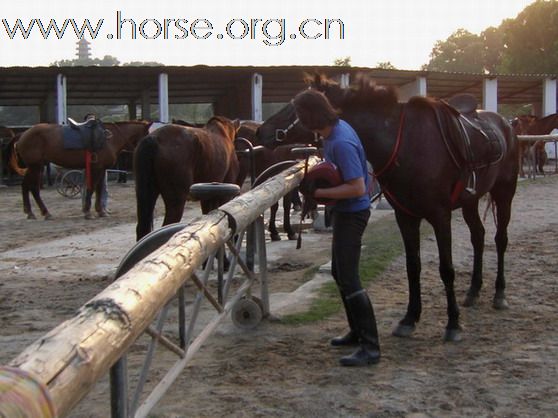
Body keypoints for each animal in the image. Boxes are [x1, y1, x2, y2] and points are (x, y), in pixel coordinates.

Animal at [13, 120, 151, 219]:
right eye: (147, 135)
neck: (109, 139)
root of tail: (23, 134)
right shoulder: (97, 168)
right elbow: (92, 188)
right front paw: (87, 212)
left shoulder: (102, 169)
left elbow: (99, 189)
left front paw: (100, 211)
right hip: (35, 166)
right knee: (33, 188)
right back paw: (45, 212)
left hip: (36, 167)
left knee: (25, 186)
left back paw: (30, 212)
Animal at [258, 74, 520, 342]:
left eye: (294, 106)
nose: (261, 131)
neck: (405, 144)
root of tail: (505, 125)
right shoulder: (405, 216)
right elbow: (412, 267)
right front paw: (409, 319)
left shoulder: (440, 216)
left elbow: (446, 269)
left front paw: (453, 324)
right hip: (470, 201)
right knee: (478, 236)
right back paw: (473, 291)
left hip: (504, 193)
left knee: (500, 239)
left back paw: (499, 294)